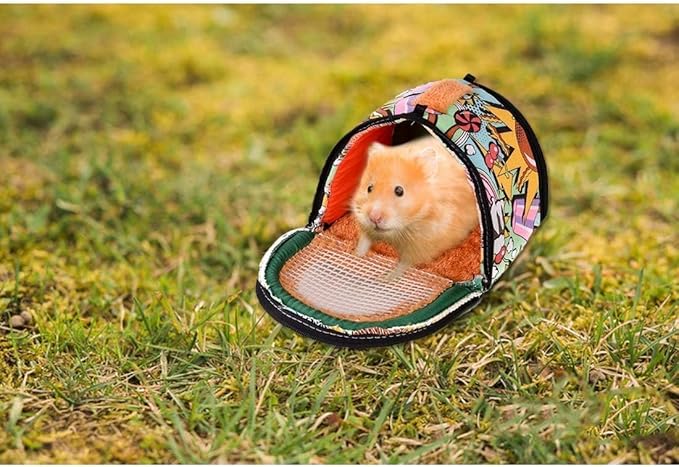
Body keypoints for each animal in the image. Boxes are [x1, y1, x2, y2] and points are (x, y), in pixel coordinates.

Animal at [351, 135, 479, 278]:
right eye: (369, 188)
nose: (374, 218)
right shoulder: (367, 228)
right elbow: (364, 242)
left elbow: (404, 263)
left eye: (399, 191)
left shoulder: (422, 246)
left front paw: (386, 278)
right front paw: (355, 255)